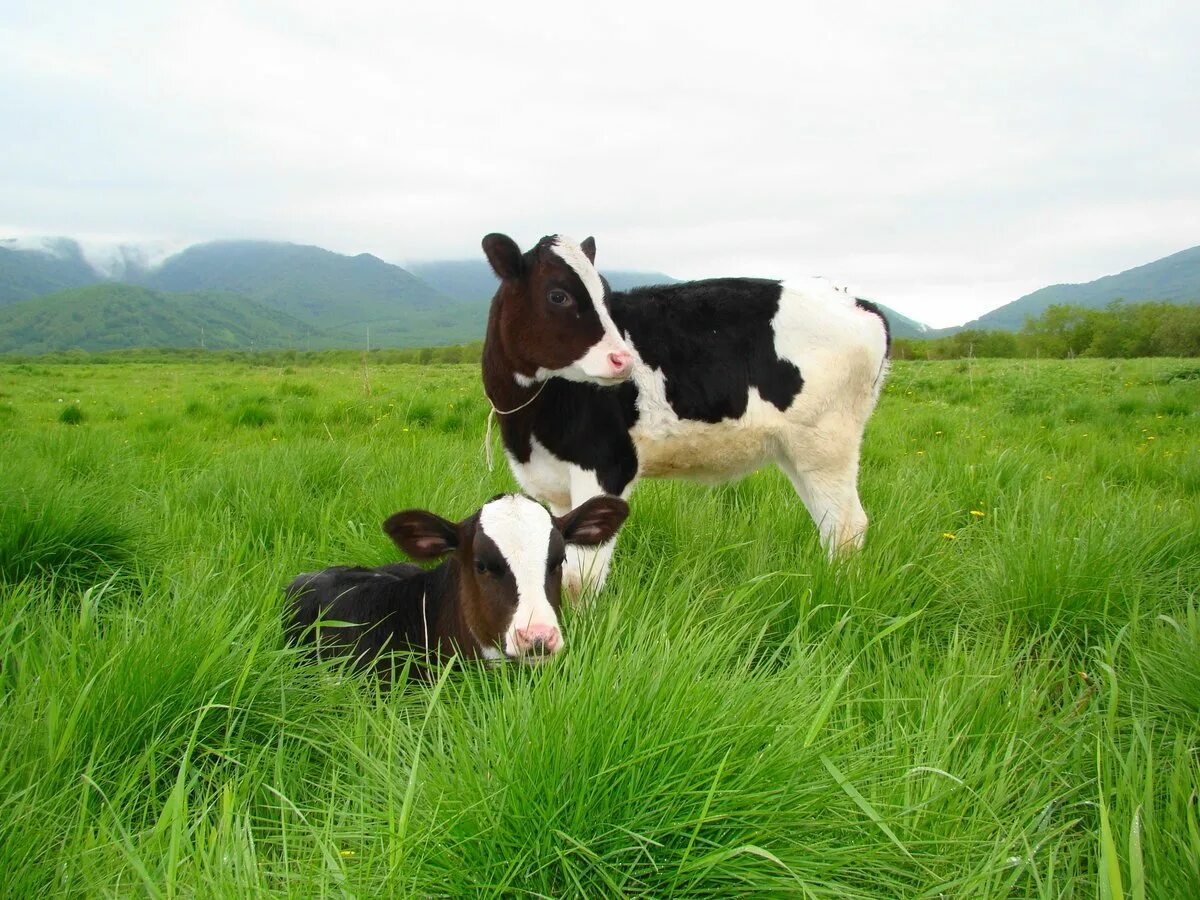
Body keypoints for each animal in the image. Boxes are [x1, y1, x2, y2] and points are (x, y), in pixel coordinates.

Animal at [480, 232, 892, 600]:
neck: (527, 428)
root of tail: (854, 299)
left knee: (846, 525)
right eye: (558, 295)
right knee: (828, 523)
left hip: (827, 442)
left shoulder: (608, 466)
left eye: (604, 295)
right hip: (796, 451)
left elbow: (580, 580)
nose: (623, 360)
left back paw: (838, 596)